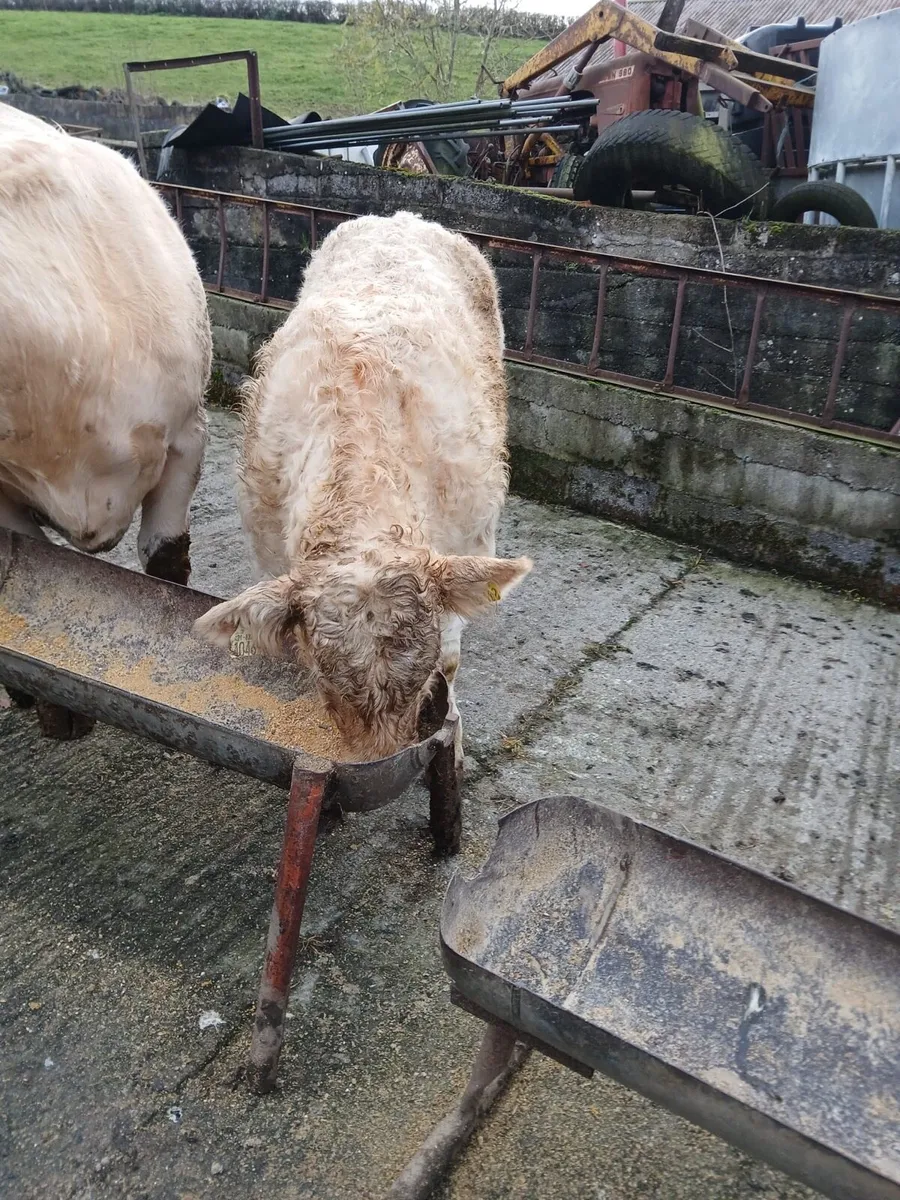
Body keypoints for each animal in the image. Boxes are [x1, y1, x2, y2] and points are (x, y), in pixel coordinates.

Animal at [194, 211, 531, 763]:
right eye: (325, 686)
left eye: (421, 687)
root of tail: (402, 217)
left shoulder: (469, 538)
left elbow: (453, 658)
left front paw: (453, 740)